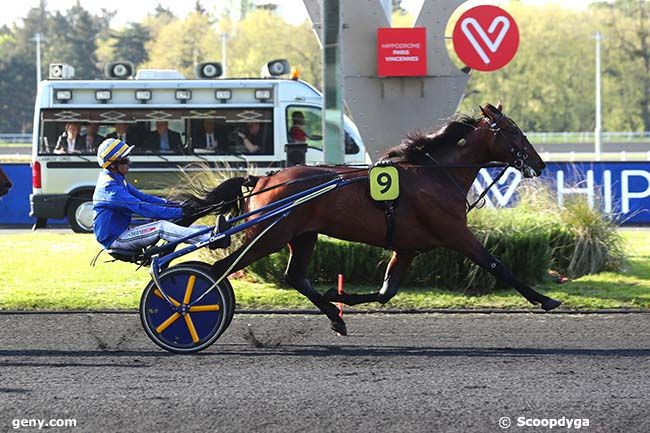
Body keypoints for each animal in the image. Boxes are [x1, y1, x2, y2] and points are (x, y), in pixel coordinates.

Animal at [175, 104, 560, 334]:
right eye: (513, 130)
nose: (540, 163)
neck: (436, 175)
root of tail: (264, 179)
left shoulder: (407, 248)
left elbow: (387, 292)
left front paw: (341, 295)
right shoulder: (456, 235)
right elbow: (498, 266)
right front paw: (545, 299)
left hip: (302, 235)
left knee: (295, 276)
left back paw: (334, 316)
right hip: (267, 235)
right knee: (219, 268)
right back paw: (190, 306)